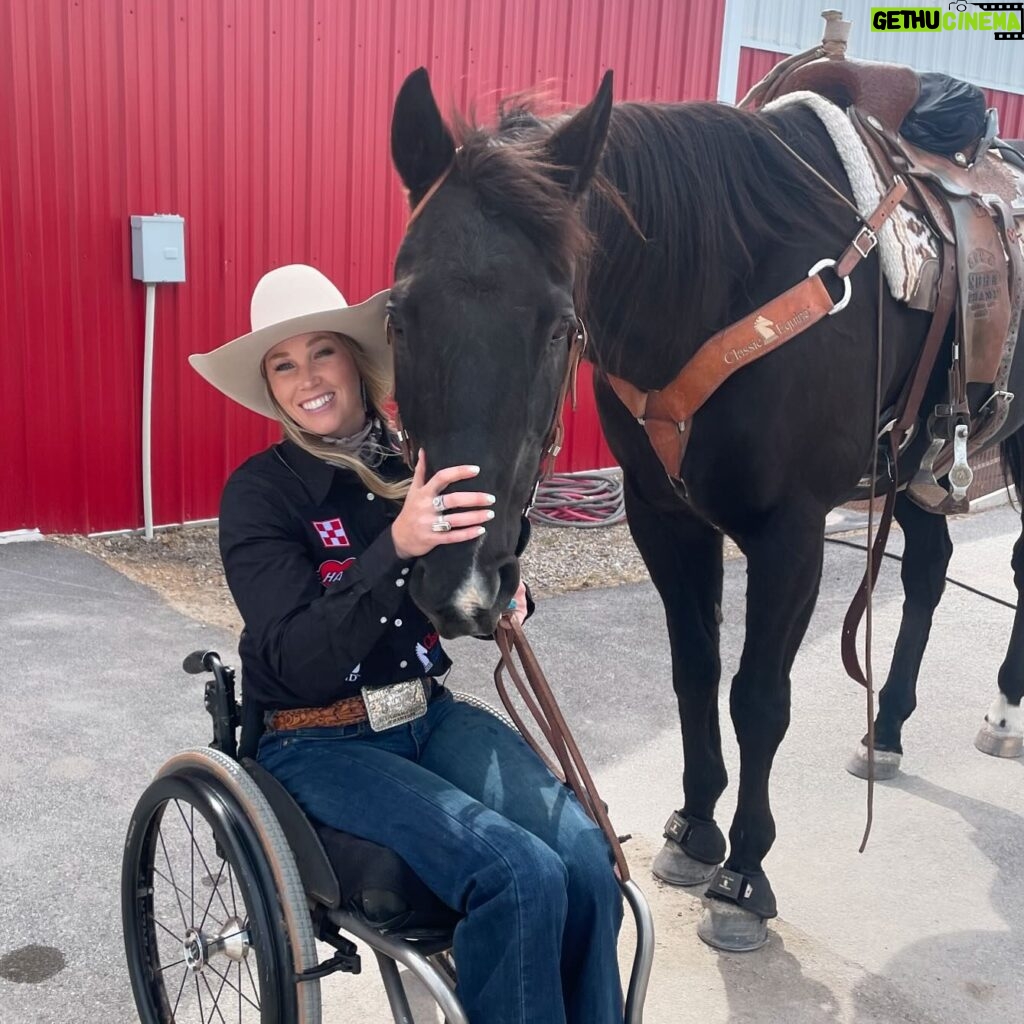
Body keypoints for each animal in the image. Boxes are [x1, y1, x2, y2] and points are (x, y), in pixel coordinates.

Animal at [385, 70, 1024, 950]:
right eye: (399, 314)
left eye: (558, 325)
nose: (462, 585)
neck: (728, 281)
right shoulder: (663, 515)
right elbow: (694, 673)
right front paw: (695, 829)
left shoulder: (791, 531)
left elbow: (758, 697)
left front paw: (745, 873)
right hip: (918, 465)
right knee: (929, 569)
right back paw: (887, 728)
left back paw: (1002, 711)